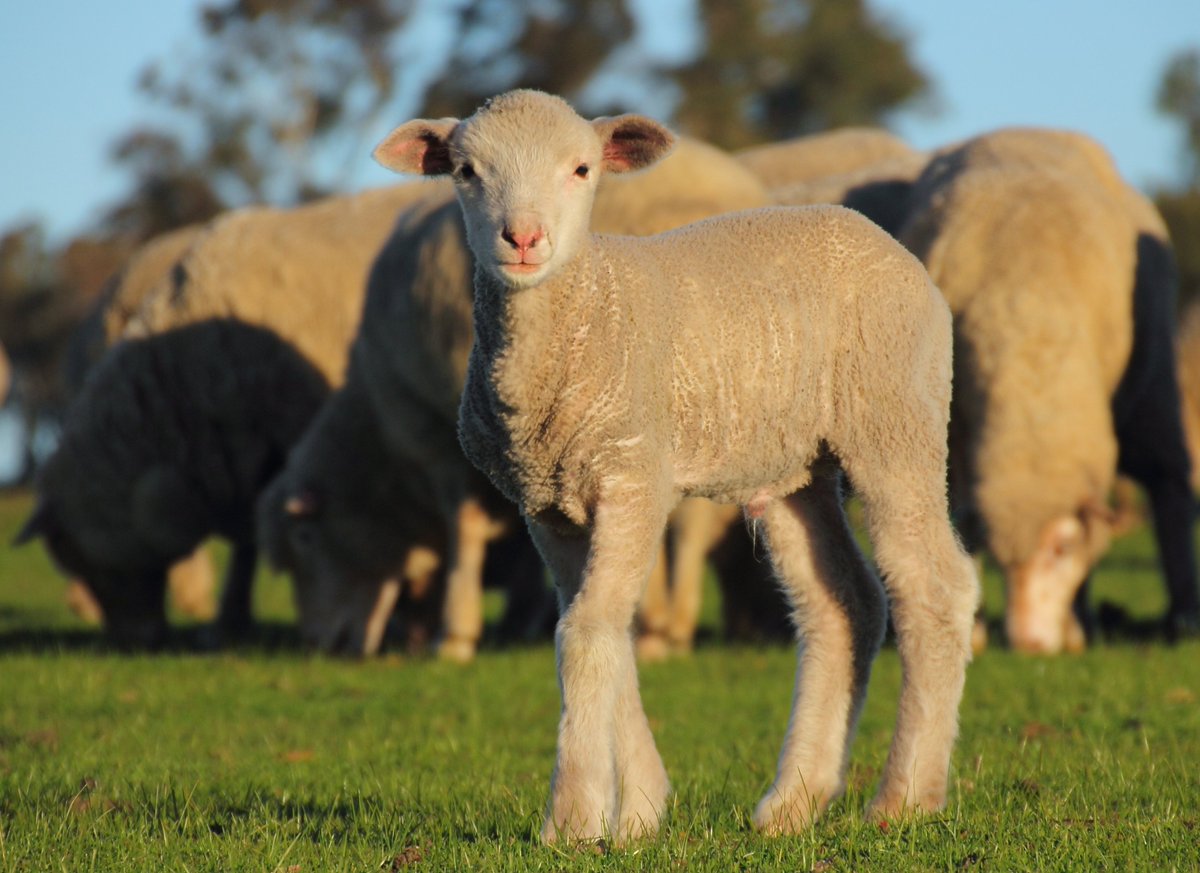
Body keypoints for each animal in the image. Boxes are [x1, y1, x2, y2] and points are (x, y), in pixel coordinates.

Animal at [265, 136, 772, 660]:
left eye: (306, 537)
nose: (318, 645)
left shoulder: (439, 441)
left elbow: (464, 529)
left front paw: (455, 636)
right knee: (689, 521)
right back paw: (668, 630)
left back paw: (648, 625)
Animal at [373, 89, 979, 841]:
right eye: (465, 171)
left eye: (581, 169)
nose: (523, 239)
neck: (583, 310)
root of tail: (885, 241)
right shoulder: (547, 506)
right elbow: (604, 630)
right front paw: (639, 808)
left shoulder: (635, 474)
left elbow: (584, 633)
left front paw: (573, 818)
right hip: (791, 466)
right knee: (844, 605)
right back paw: (793, 802)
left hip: (895, 417)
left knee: (934, 588)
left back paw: (904, 798)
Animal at [898, 126, 1200, 652]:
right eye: (1001, 557)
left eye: (1062, 548)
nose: (1027, 645)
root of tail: (1021, 128)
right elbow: (960, 524)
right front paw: (974, 630)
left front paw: (1080, 627)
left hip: (1156, 382)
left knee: (1170, 487)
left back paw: (1182, 618)